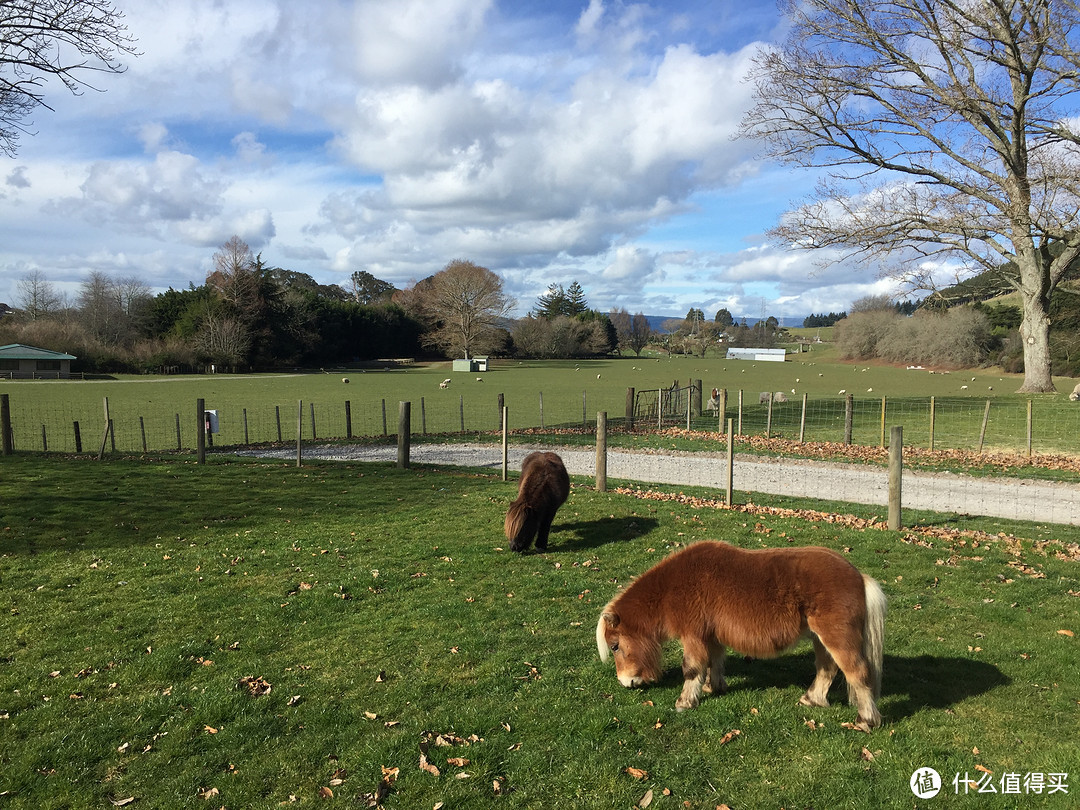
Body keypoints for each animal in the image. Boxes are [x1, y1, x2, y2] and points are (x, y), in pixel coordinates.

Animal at [600, 542, 885, 734]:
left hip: (836, 637)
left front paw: (685, 702)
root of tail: (858, 576)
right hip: (820, 638)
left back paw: (865, 721)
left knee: (857, 672)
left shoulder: (693, 635)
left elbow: (692, 668)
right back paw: (812, 699)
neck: (673, 586)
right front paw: (713, 687)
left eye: (615, 646)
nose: (626, 682)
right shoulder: (711, 635)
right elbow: (714, 662)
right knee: (827, 668)